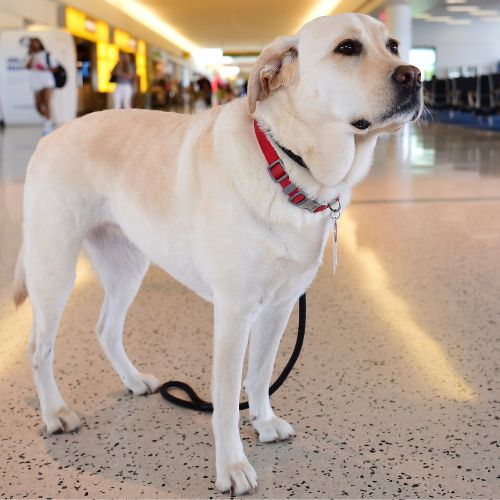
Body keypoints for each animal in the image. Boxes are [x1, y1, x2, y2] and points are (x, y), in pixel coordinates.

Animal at [13, 12, 420, 496]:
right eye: (347, 48)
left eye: (393, 46)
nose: (415, 75)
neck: (288, 166)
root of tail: (51, 137)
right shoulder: (234, 313)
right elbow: (226, 400)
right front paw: (232, 465)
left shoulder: (279, 307)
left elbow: (259, 375)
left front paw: (263, 423)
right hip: (53, 269)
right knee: (39, 348)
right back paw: (56, 413)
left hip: (127, 266)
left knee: (105, 329)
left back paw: (134, 381)